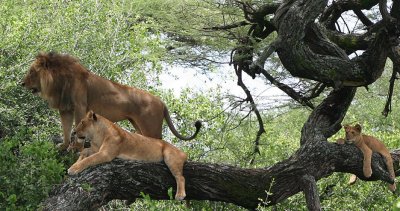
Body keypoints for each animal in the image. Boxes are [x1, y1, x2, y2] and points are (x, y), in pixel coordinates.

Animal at [22, 52, 200, 149]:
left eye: (31, 72)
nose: (21, 83)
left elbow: (77, 128)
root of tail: (162, 102)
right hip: (138, 125)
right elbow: (66, 130)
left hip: (151, 127)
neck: (59, 81)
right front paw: (64, 146)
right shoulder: (65, 109)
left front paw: (76, 147)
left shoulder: (80, 106)